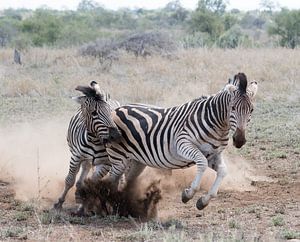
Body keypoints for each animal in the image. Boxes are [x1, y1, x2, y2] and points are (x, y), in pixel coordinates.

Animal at [54, 81, 120, 210]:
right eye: (94, 113)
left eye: (110, 111)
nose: (115, 135)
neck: (95, 141)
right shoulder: (76, 157)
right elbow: (69, 180)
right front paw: (59, 202)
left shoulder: (105, 163)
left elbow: (91, 182)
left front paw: (82, 202)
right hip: (83, 158)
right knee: (79, 174)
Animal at [97, 72, 256, 210]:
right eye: (233, 108)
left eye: (252, 110)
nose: (239, 140)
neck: (217, 125)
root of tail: (117, 108)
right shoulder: (183, 144)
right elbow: (202, 164)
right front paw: (188, 194)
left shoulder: (213, 154)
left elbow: (223, 171)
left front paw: (203, 201)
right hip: (119, 158)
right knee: (111, 180)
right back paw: (109, 206)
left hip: (136, 161)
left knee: (124, 181)